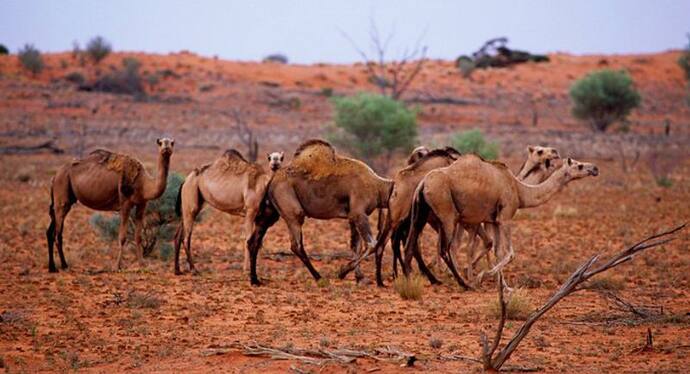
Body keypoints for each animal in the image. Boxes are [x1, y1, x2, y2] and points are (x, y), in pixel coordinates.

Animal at [46, 137, 175, 272]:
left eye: (172, 143)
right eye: (160, 143)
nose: (166, 147)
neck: (144, 183)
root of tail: (55, 176)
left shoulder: (142, 204)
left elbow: (138, 237)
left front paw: (142, 264)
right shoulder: (125, 203)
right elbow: (122, 237)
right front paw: (117, 266)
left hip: (64, 198)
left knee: (50, 231)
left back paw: (52, 267)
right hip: (62, 190)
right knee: (58, 232)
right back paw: (64, 265)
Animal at [243, 140, 392, 286]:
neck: (378, 187)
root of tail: (271, 180)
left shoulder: (353, 217)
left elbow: (356, 246)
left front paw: (360, 278)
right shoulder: (359, 213)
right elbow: (372, 245)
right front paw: (342, 272)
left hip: (270, 213)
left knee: (253, 241)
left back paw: (254, 280)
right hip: (292, 211)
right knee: (296, 245)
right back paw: (319, 277)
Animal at [404, 155, 596, 290]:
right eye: (579, 165)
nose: (595, 168)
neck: (520, 190)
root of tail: (422, 183)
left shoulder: (494, 221)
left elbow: (498, 252)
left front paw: (503, 286)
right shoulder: (505, 218)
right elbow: (510, 253)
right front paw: (481, 277)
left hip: (421, 214)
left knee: (411, 243)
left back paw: (414, 278)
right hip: (447, 213)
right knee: (445, 248)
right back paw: (463, 283)